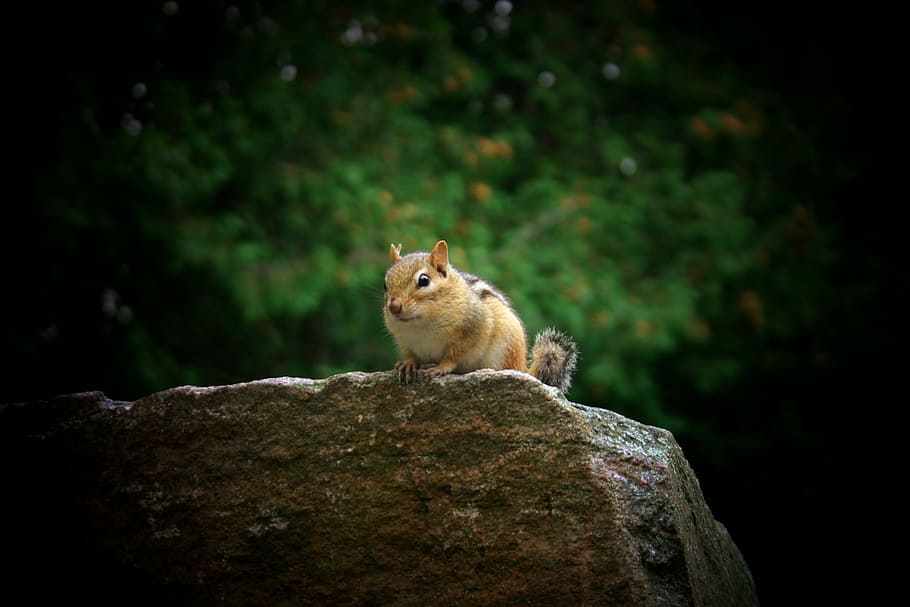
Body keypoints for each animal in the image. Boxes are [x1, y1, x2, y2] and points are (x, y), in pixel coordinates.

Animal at [383, 239, 578, 393]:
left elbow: (455, 355)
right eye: (385, 284)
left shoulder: (475, 329)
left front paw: (440, 367)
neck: (420, 325)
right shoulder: (403, 339)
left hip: (504, 349)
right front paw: (408, 364)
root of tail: (524, 369)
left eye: (424, 280)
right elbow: (410, 353)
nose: (394, 307)